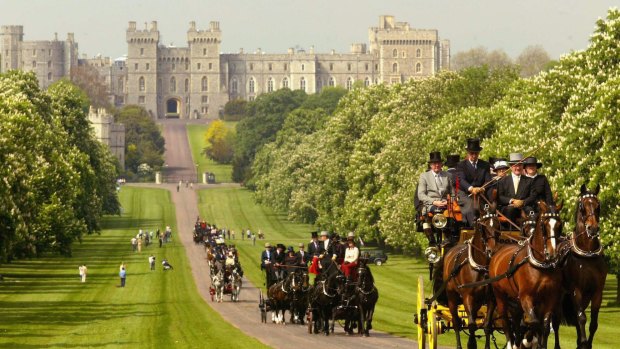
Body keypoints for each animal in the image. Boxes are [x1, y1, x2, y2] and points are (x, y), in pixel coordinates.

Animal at [444, 203, 502, 346]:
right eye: (483, 227)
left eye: (498, 225)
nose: (492, 250)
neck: (480, 267)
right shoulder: (467, 297)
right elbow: (471, 325)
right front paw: (471, 344)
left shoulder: (490, 299)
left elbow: (487, 326)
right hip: (452, 296)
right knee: (456, 323)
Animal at [492, 200, 564, 348]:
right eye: (544, 225)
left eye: (559, 225)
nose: (552, 254)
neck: (541, 266)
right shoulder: (526, 297)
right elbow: (534, 322)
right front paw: (528, 340)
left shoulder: (550, 298)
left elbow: (544, 326)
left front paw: (538, 342)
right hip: (500, 295)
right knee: (506, 321)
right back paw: (511, 343)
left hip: (515, 300)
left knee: (516, 320)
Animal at [552, 184, 604, 346]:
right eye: (582, 206)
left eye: (598, 205)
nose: (593, 228)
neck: (587, 254)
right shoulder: (577, 291)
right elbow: (581, 318)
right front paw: (584, 342)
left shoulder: (597, 292)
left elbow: (593, 323)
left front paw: (586, 343)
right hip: (559, 296)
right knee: (555, 322)